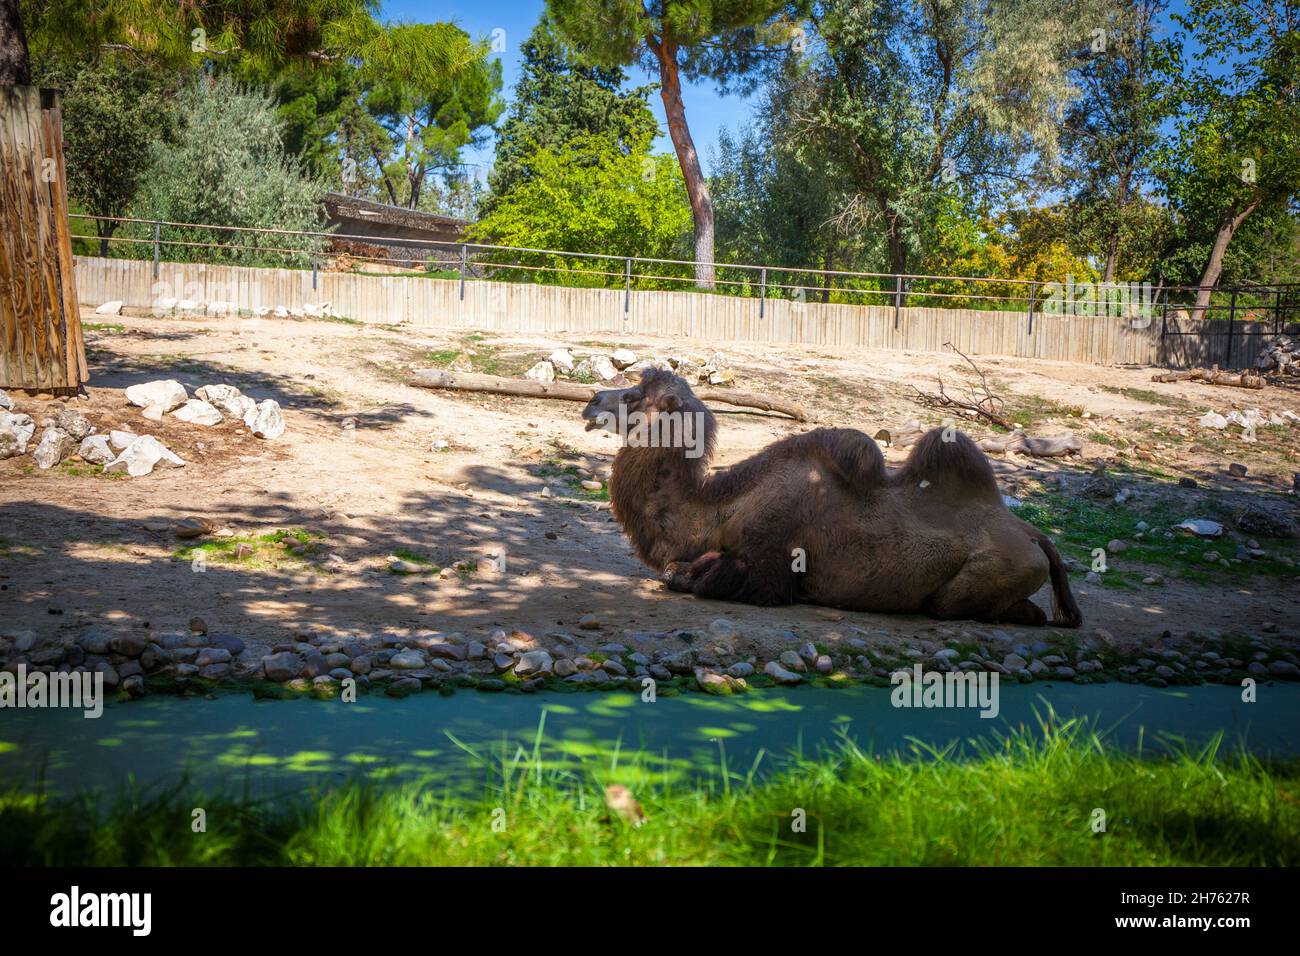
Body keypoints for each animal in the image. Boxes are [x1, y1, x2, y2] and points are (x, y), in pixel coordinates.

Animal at [581, 368, 1082, 627]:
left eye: (634, 394)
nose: (591, 400)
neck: (721, 509)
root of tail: (1037, 536)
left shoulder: (768, 571)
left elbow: (682, 575)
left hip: (997, 570)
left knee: (961, 606)